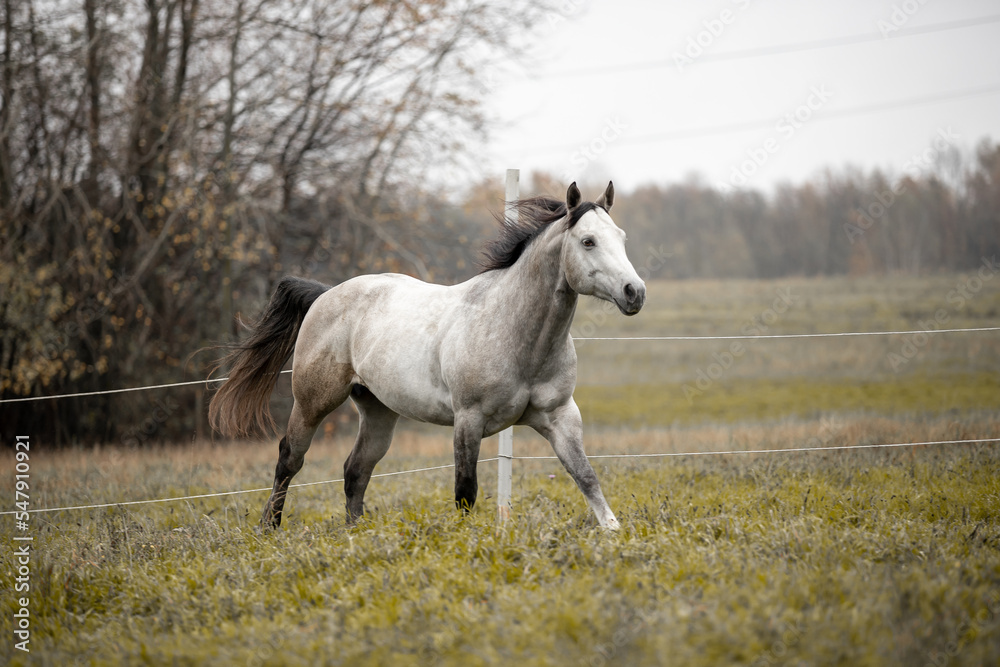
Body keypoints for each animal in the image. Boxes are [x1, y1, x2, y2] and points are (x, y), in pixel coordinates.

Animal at [208, 181, 645, 530]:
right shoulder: (469, 419)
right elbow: (465, 490)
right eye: (587, 241)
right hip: (313, 401)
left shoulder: (560, 416)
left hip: (378, 411)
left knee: (356, 470)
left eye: (622, 238)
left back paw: (354, 533)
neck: (514, 332)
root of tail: (325, 294)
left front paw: (612, 530)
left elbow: (585, 474)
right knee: (289, 459)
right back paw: (270, 527)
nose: (634, 292)